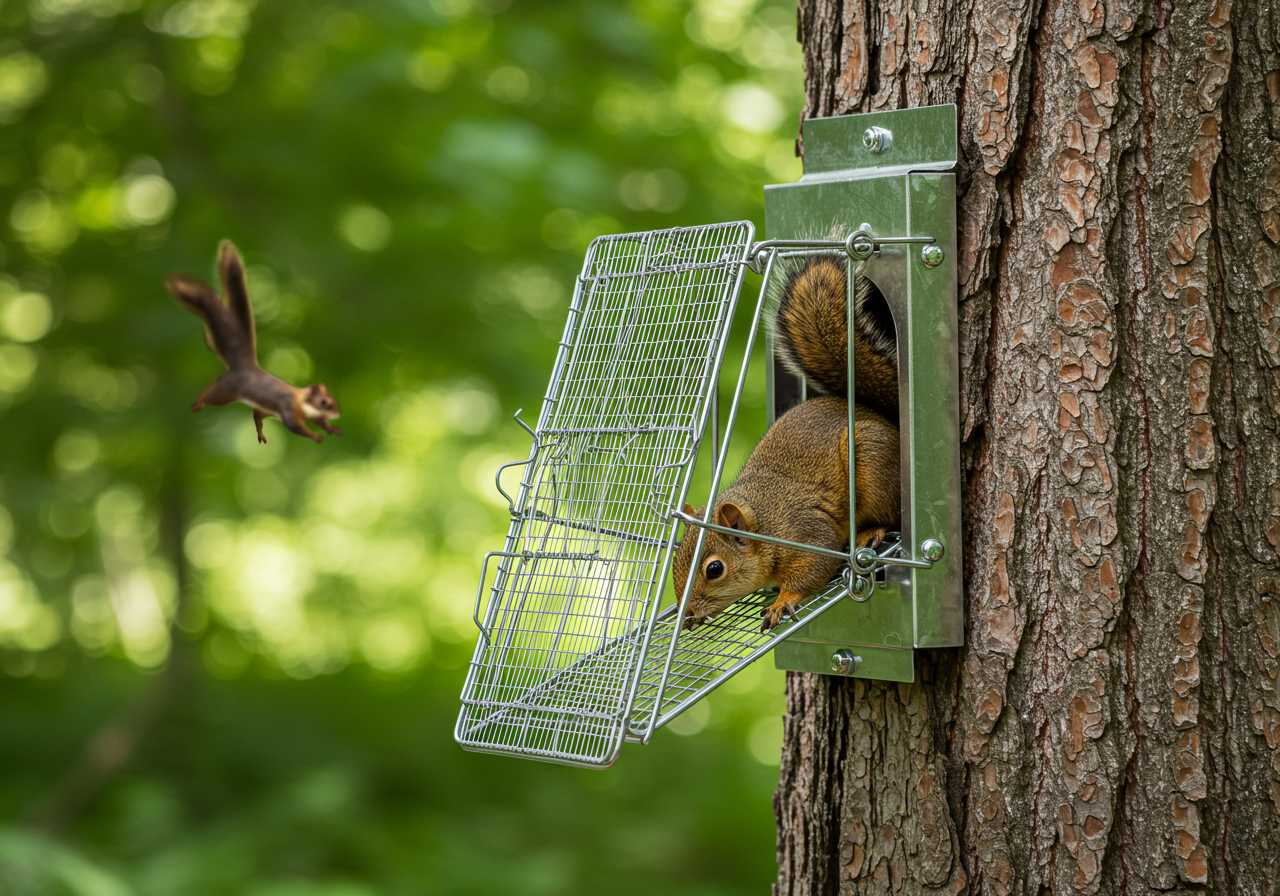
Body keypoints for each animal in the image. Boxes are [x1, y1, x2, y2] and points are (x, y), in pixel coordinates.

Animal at [165, 240, 342, 444]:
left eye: (332, 399)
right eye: (323, 402)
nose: (337, 413)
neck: (300, 403)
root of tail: (244, 367)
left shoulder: (308, 415)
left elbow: (319, 421)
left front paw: (331, 428)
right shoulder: (288, 409)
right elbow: (295, 427)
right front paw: (315, 436)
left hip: (264, 408)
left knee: (256, 415)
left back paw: (260, 432)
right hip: (225, 393)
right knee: (214, 389)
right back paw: (200, 401)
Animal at [672, 252, 900, 631]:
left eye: (714, 569)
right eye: (677, 558)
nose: (686, 614)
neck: (766, 523)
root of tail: (888, 421)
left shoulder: (809, 534)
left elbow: (812, 570)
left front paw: (782, 601)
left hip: (872, 455)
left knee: (892, 514)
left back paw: (872, 531)